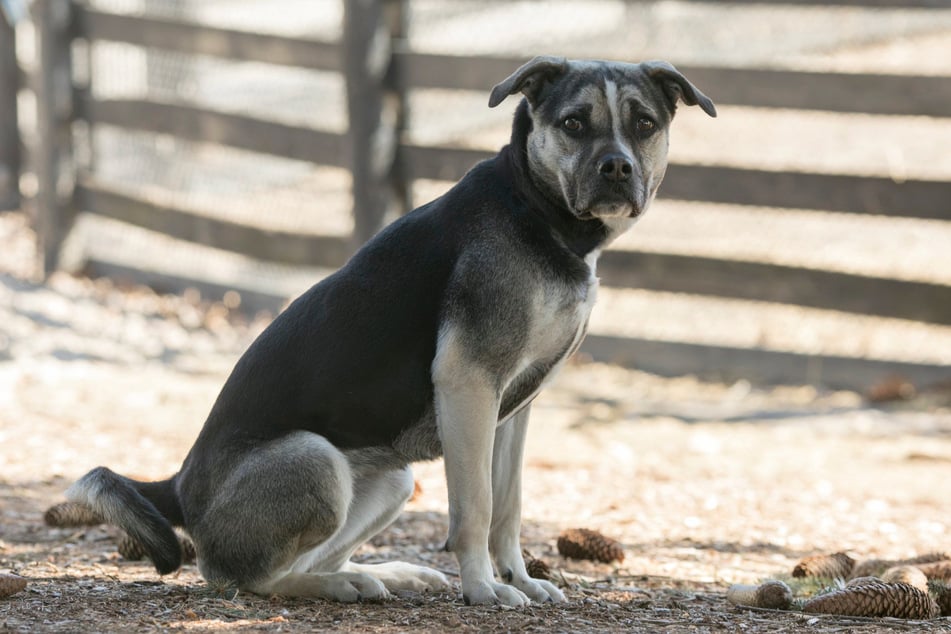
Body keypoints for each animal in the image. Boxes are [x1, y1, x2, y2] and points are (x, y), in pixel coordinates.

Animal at [67, 56, 716, 604]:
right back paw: (337, 586)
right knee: (249, 578)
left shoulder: (514, 407)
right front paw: (485, 589)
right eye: (574, 123)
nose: (617, 168)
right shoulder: (469, 386)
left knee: (308, 560)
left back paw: (379, 575)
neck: (535, 208)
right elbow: (476, 507)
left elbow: (508, 507)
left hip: (392, 481)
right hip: (316, 459)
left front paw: (521, 580)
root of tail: (175, 485)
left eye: (645, 124)